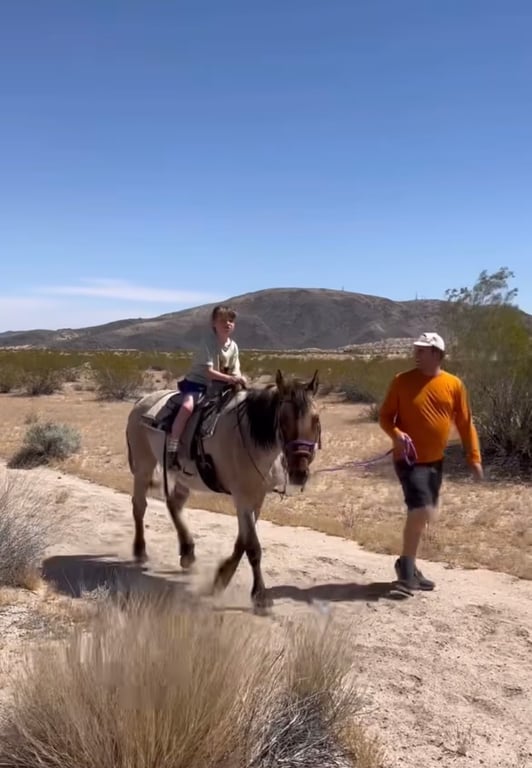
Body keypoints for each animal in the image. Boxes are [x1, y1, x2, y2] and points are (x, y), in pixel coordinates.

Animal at [125, 369, 322, 610]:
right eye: (282, 420)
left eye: (315, 419)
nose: (299, 472)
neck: (250, 437)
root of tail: (141, 401)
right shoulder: (243, 498)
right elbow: (253, 546)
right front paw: (260, 595)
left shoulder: (256, 498)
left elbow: (242, 542)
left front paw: (221, 578)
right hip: (143, 465)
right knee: (139, 506)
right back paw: (140, 551)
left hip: (183, 476)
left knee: (174, 503)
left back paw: (187, 552)